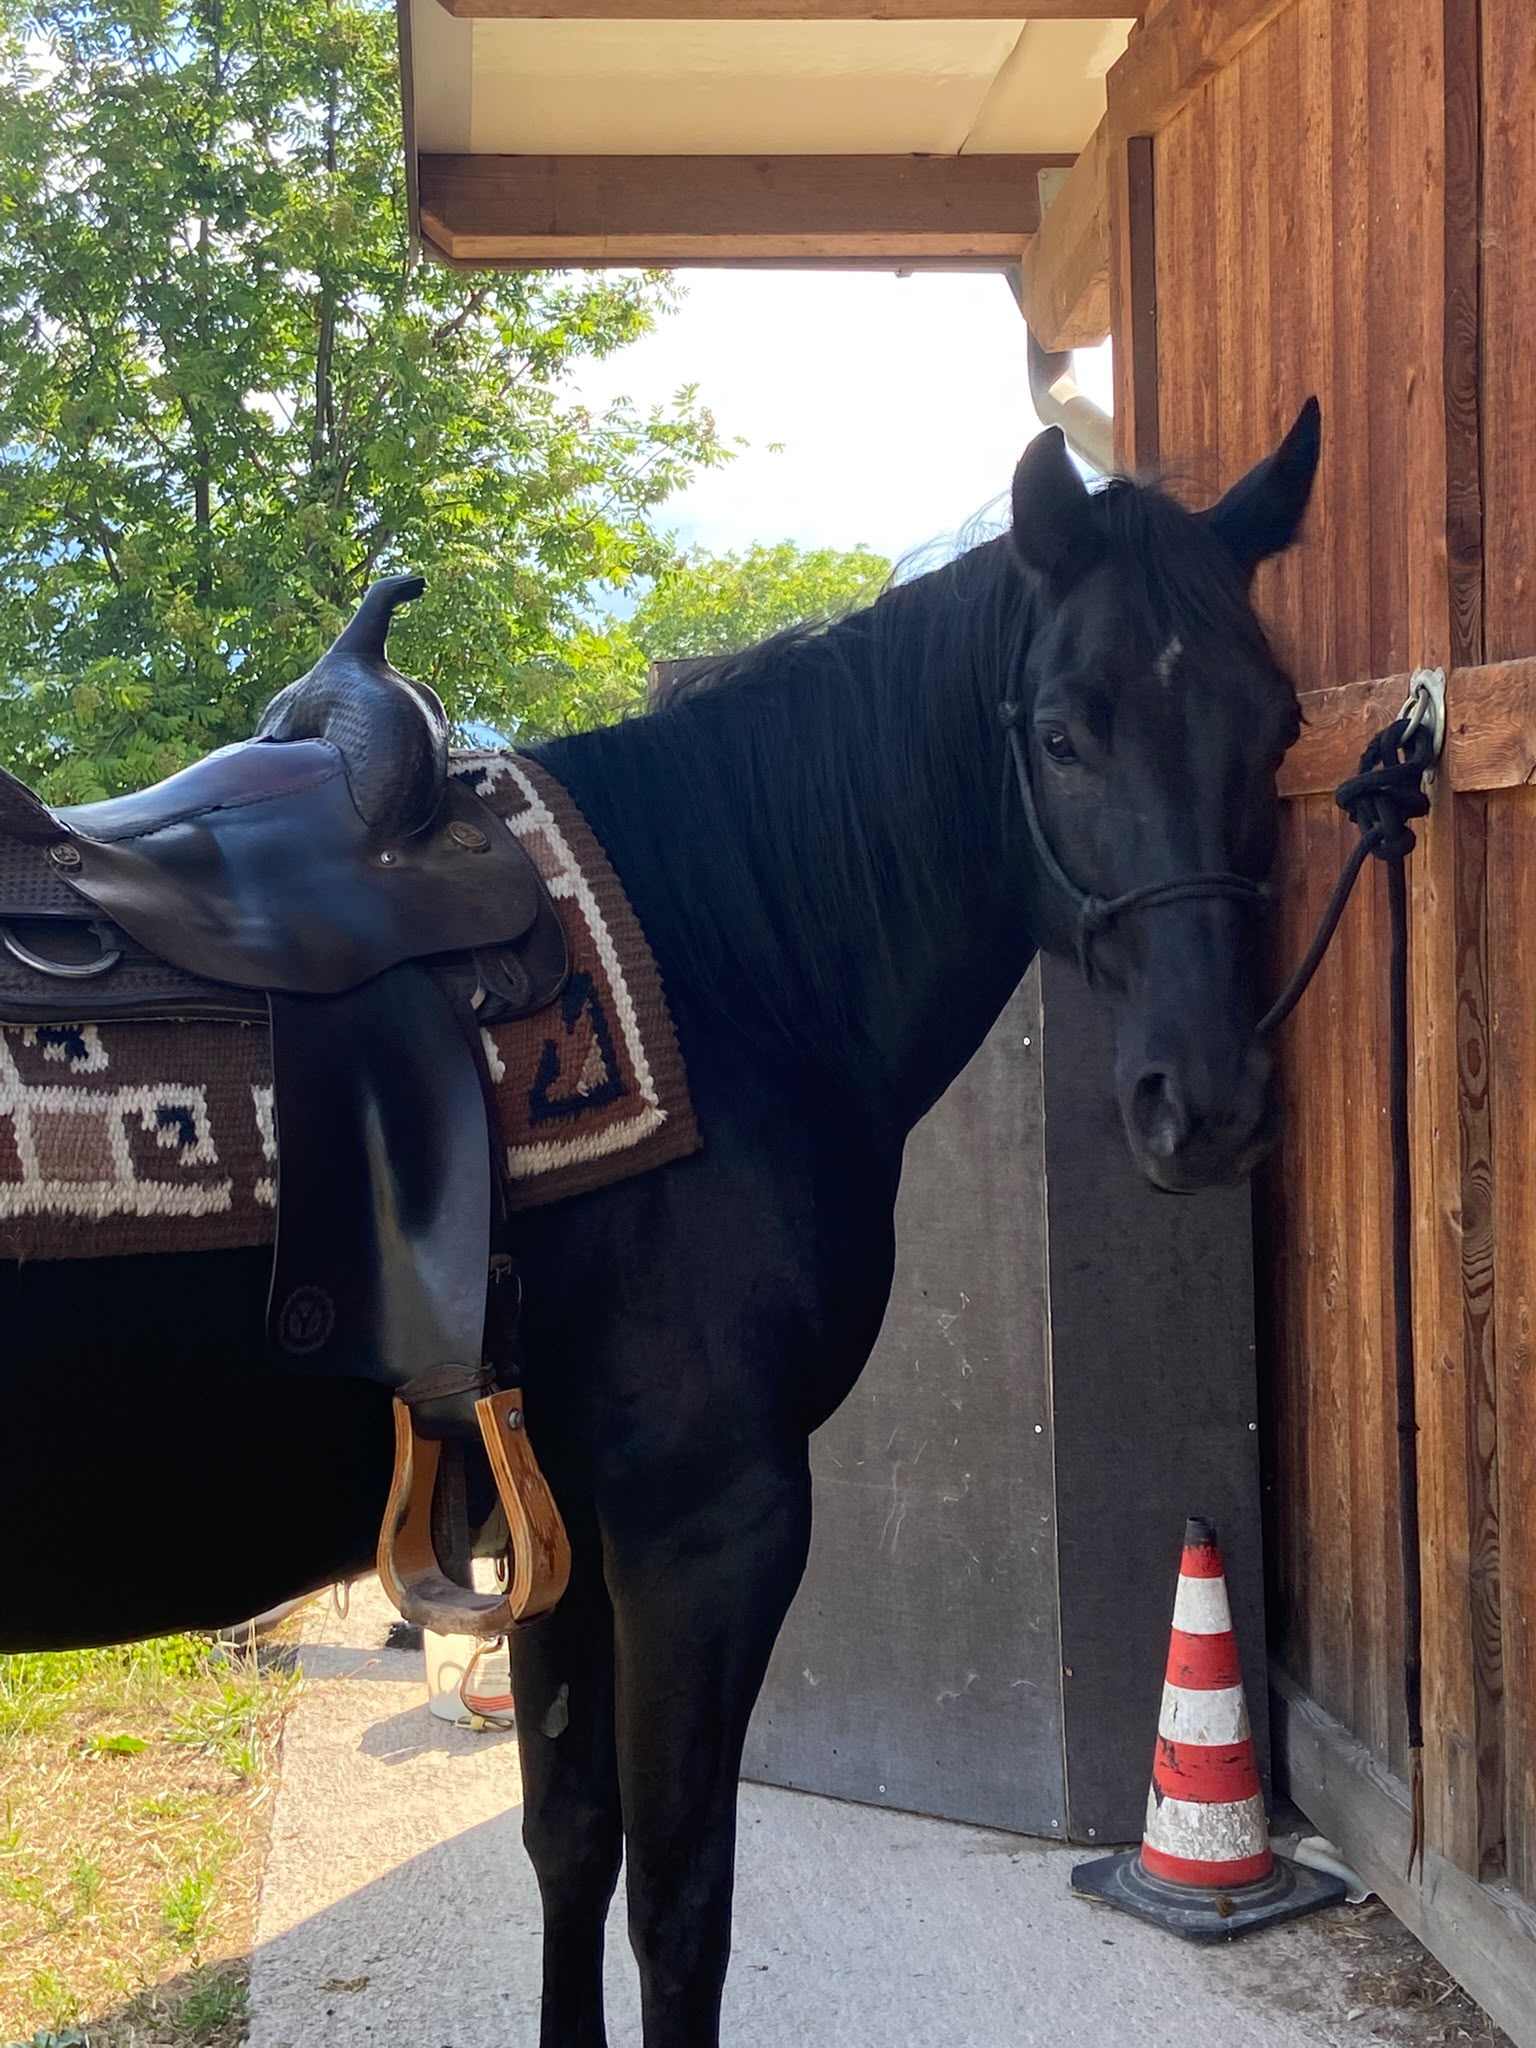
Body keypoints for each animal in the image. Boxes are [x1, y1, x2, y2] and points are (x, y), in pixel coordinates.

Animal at [0, 403, 1320, 2047]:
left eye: (1280, 727)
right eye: (1066, 730)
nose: (1207, 1102)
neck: (722, 955)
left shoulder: (555, 1503)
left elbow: (572, 1840)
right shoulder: (707, 1518)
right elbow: (682, 1906)